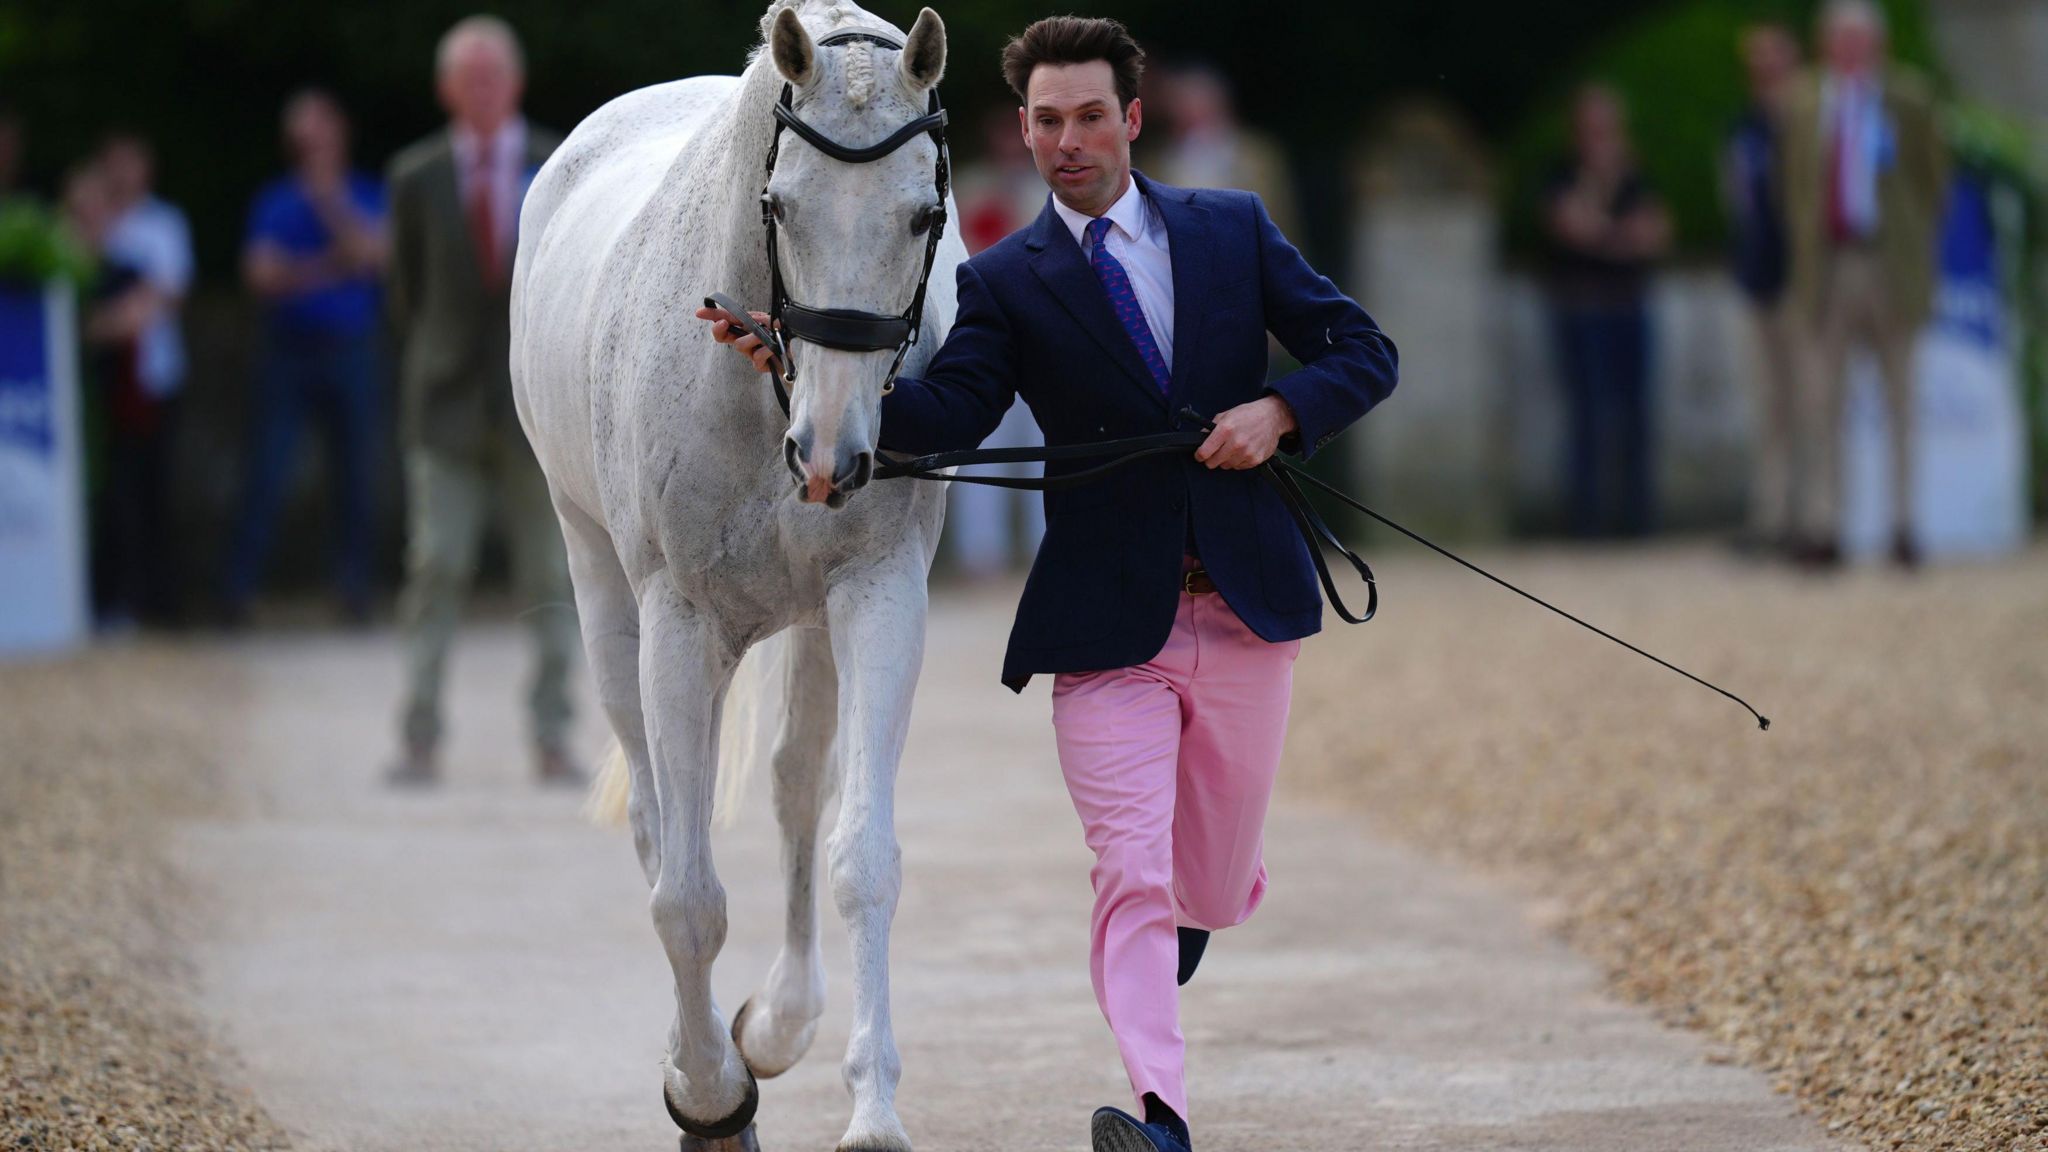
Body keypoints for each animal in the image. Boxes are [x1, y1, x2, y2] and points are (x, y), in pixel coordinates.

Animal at [512, 4, 958, 1139]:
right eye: (781, 206)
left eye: (921, 216)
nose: (833, 454)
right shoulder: (679, 623)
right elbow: (685, 897)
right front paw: (708, 1096)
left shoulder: (878, 596)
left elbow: (861, 858)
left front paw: (871, 1115)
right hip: (601, 590)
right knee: (656, 829)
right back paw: (705, 1053)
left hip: (811, 621)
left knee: (798, 789)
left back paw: (777, 1023)